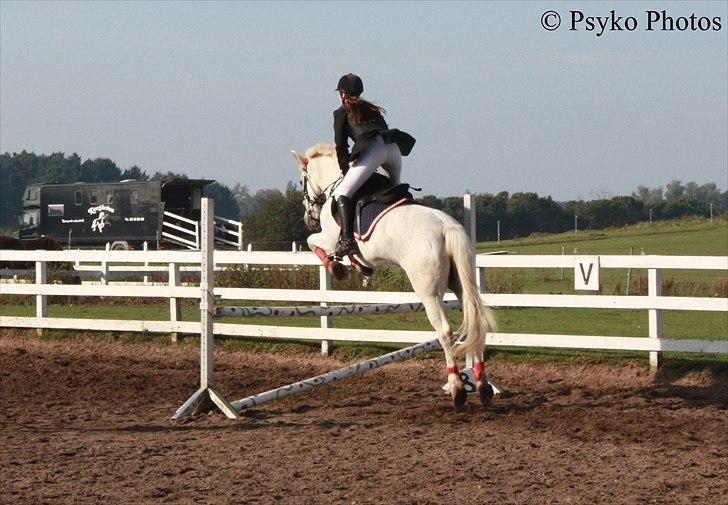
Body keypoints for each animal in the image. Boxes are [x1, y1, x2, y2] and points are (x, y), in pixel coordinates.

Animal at [292, 143, 498, 406]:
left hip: (428, 291)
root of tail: (446, 228)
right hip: (462, 282)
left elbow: (312, 242)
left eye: (301, 181)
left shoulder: (328, 238)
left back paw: (457, 387)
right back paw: (482, 385)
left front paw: (337, 267)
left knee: (444, 331)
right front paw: (357, 266)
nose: (309, 218)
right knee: (475, 320)